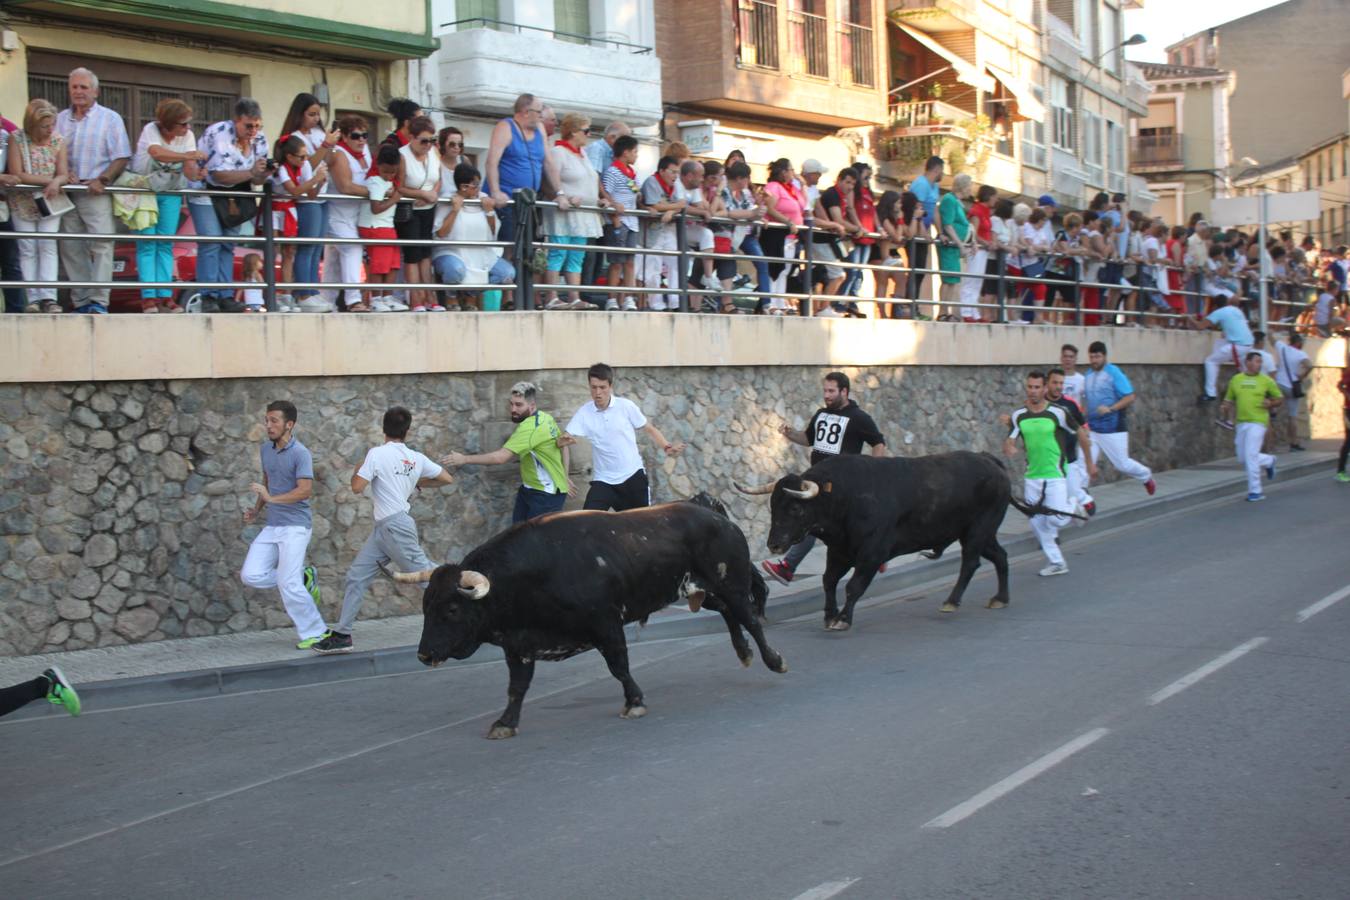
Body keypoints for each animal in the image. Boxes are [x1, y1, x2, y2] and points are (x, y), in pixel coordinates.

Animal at [399, 499, 788, 739]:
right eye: (426, 606)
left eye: (451, 609)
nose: (423, 654)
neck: (534, 574)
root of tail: (716, 515)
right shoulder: (520, 646)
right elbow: (517, 687)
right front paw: (505, 723)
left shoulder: (606, 625)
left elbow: (619, 666)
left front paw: (634, 703)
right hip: (703, 592)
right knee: (729, 615)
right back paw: (743, 653)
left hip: (731, 583)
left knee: (750, 618)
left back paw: (773, 660)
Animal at [739, 453, 1053, 631]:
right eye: (773, 506)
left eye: (796, 508)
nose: (774, 544)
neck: (844, 496)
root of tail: (992, 463)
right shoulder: (839, 551)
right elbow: (828, 581)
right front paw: (829, 615)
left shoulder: (872, 553)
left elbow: (854, 586)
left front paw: (843, 618)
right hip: (980, 533)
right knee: (1000, 557)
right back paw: (1000, 598)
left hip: (979, 529)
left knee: (970, 563)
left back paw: (951, 601)